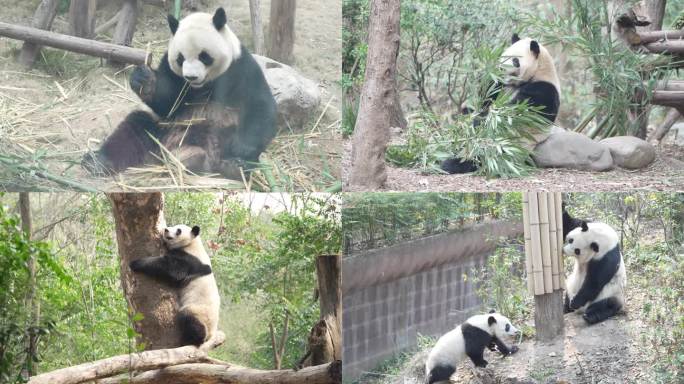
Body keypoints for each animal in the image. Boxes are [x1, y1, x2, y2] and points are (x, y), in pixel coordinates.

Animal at [84, 7, 276, 178]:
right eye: (180, 58)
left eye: (204, 56)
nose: (191, 77)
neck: (204, 86)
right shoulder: (171, 70)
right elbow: (167, 104)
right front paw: (144, 80)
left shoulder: (241, 67)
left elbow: (259, 104)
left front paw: (241, 150)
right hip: (162, 132)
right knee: (134, 129)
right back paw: (97, 162)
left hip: (222, 133)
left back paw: (234, 165)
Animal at [444, 34, 560, 174]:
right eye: (503, 56)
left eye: (515, 60)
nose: (500, 68)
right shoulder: (501, 86)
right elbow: (487, 97)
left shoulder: (544, 89)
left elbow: (521, 112)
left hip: (508, 146)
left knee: (483, 156)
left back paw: (453, 164)